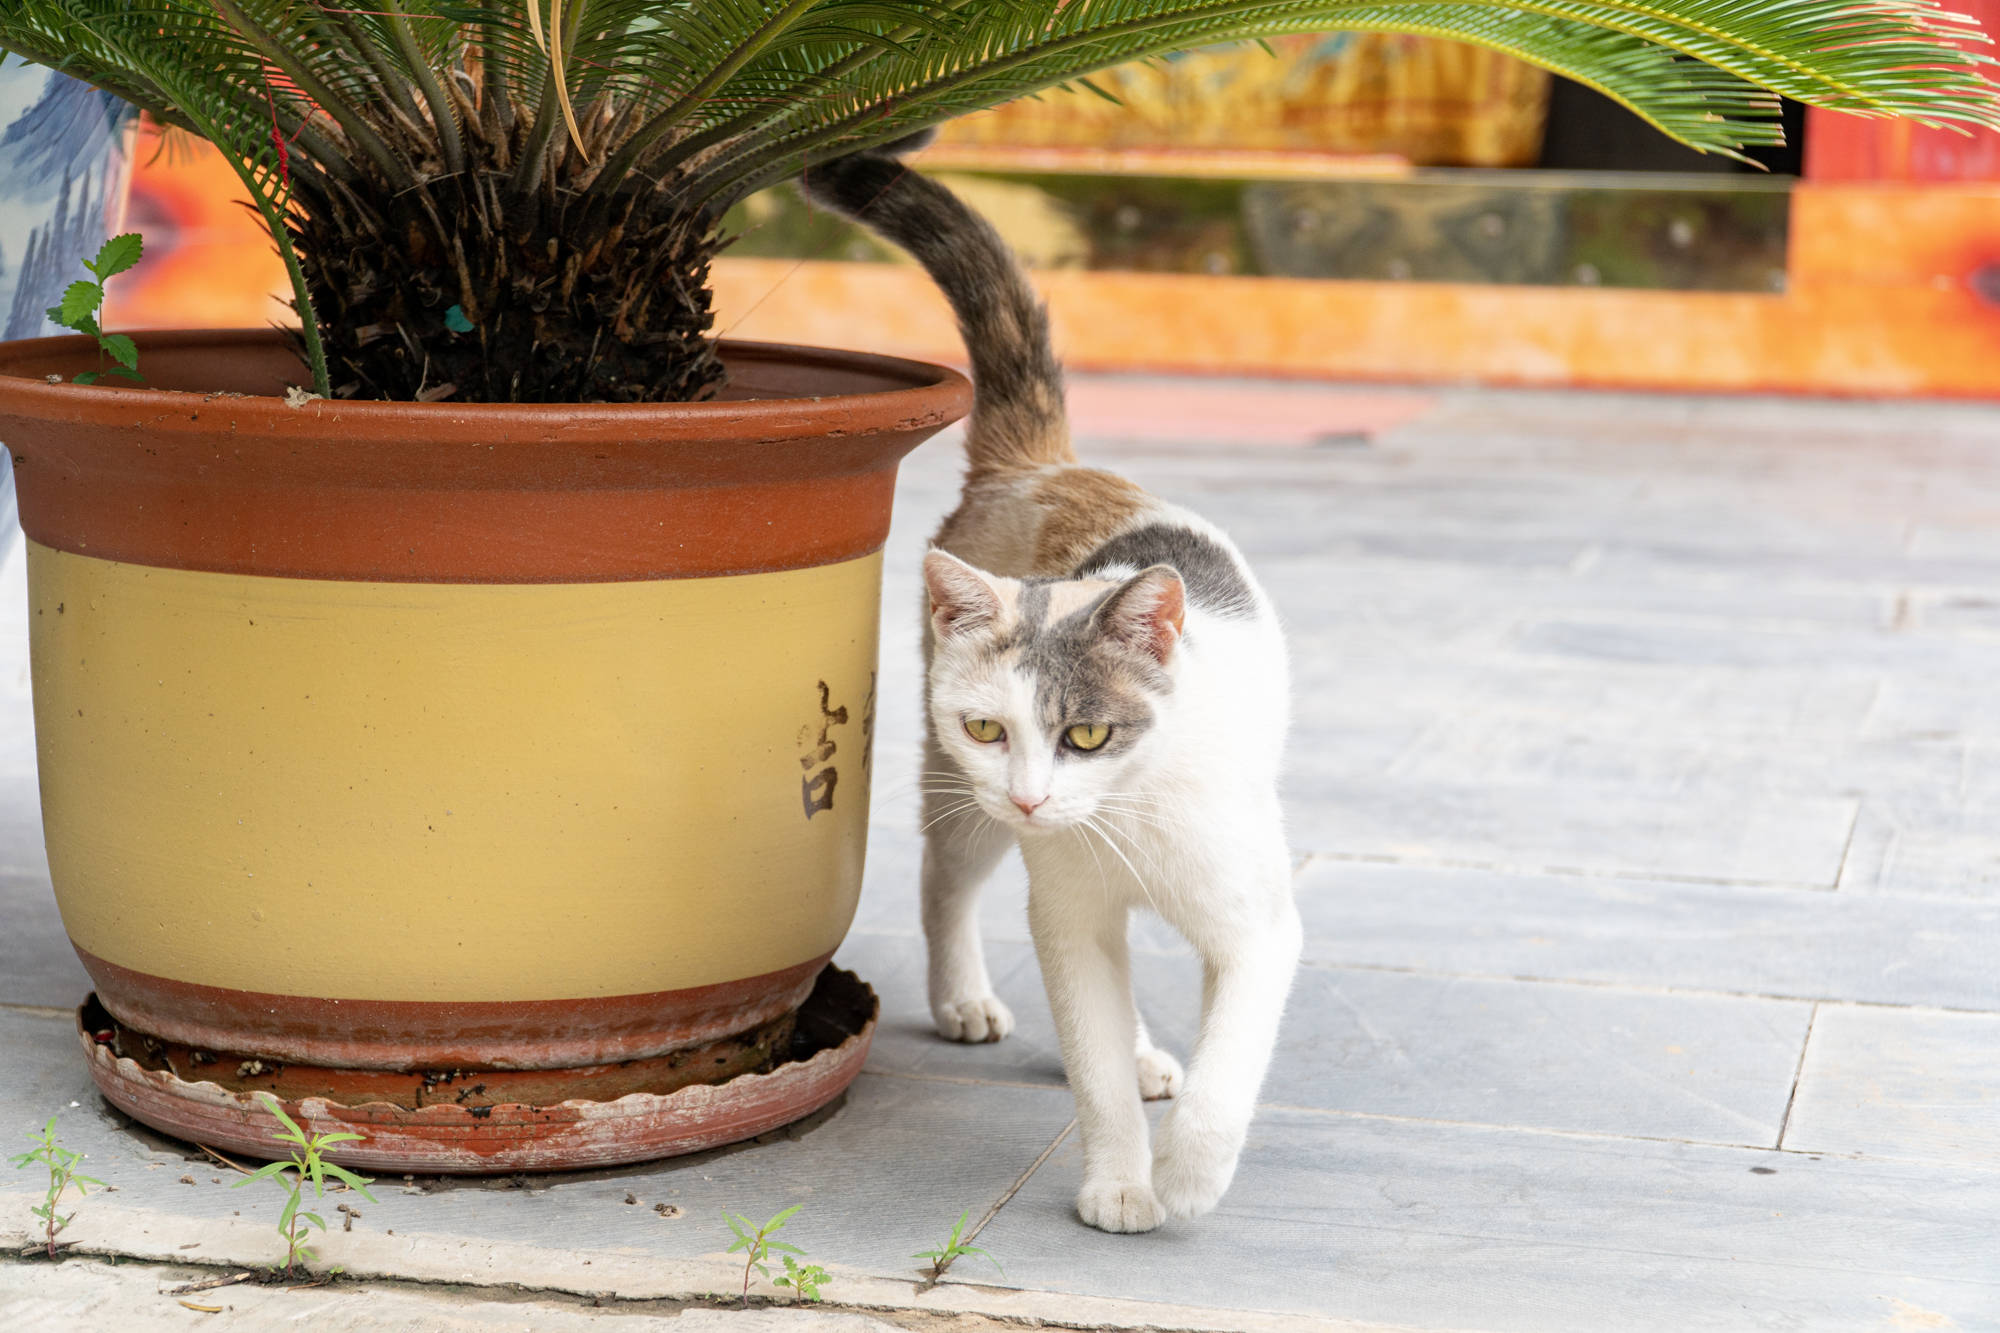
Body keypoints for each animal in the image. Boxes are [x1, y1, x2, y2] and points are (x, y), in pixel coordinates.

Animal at [804, 143, 1304, 1224]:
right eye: (990, 728)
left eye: (1087, 735)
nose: (1034, 799)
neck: (1129, 821)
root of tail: (1044, 465)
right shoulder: (1067, 914)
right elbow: (1093, 1063)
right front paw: (1120, 1180)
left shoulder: (1254, 925)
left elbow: (1226, 1069)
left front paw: (1188, 1170)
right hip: (959, 802)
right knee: (943, 880)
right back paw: (964, 996)